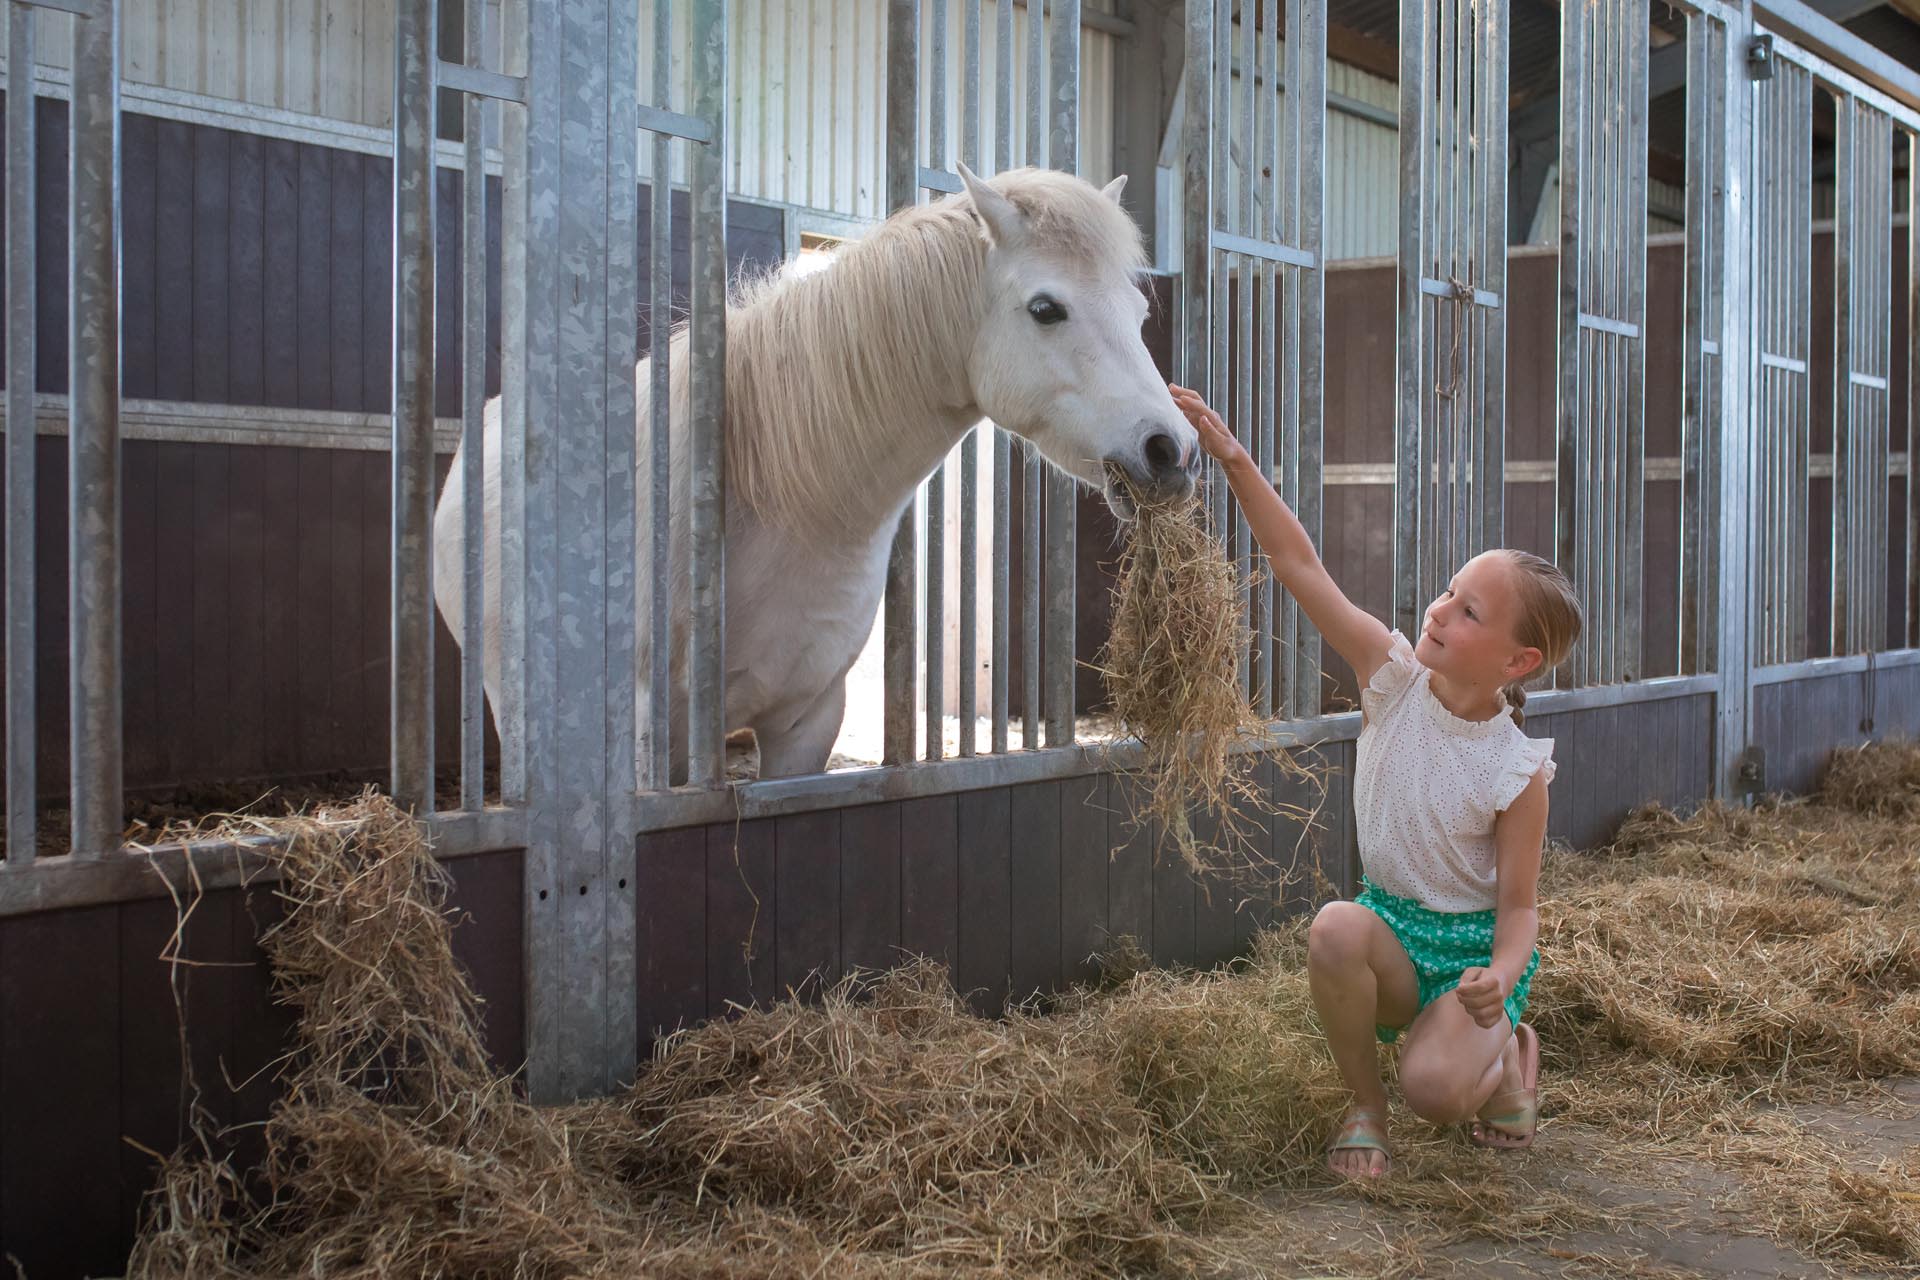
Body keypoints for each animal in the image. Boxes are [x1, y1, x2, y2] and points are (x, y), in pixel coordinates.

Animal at [432, 163, 1198, 784]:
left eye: (1139, 310)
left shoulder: (807, 721)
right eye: (1046, 309)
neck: (775, 506)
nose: (1174, 452)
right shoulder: (650, 731)